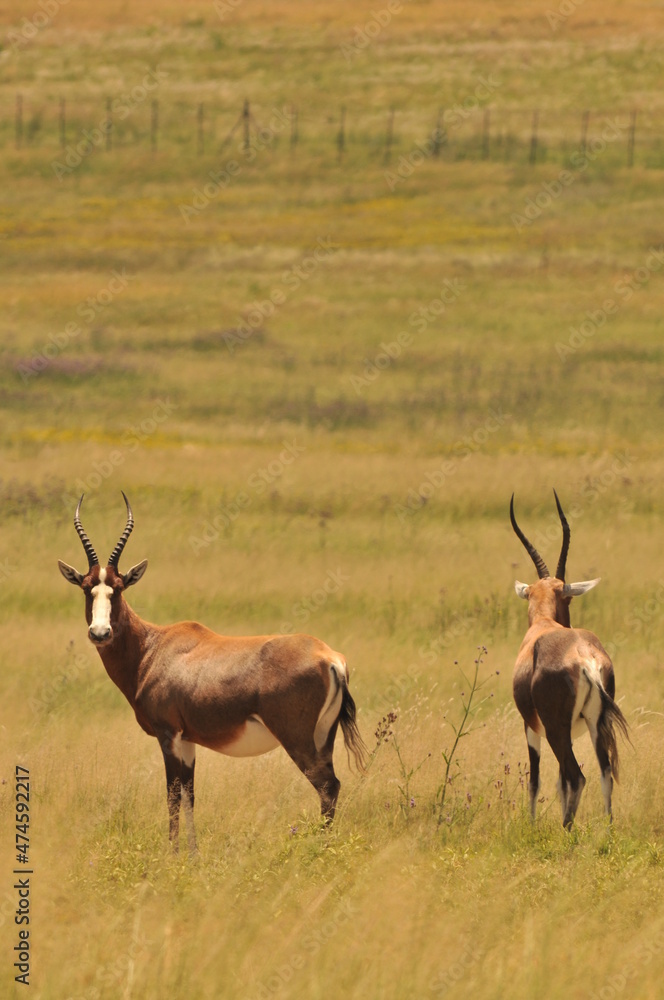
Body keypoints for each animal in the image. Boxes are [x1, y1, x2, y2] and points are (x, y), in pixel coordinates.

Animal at [58, 493, 366, 852]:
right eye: (87, 587)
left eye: (118, 588)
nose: (100, 633)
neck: (154, 646)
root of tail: (330, 658)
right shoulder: (188, 740)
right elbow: (190, 795)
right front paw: (192, 854)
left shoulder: (168, 735)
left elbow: (172, 796)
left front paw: (172, 854)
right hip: (323, 739)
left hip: (298, 740)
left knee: (328, 786)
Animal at [510, 491, 629, 828]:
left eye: (568, 597)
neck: (543, 626)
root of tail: (584, 658)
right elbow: (560, 782)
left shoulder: (530, 726)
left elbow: (536, 780)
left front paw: (532, 827)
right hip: (596, 723)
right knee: (604, 773)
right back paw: (609, 830)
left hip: (556, 730)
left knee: (577, 777)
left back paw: (567, 830)